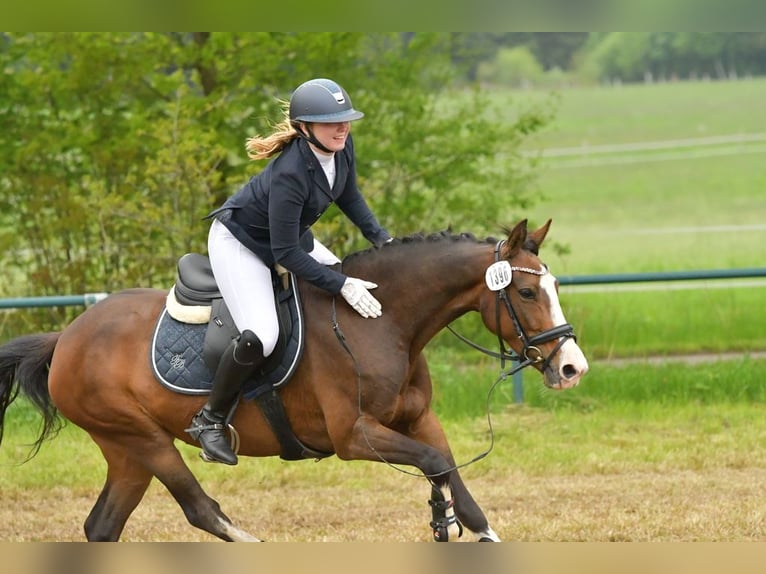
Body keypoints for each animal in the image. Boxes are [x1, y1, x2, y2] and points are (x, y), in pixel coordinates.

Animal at [0, 218, 592, 544]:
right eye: (525, 293)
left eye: (555, 288)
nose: (571, 367)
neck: (383, 321)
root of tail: (68, 335)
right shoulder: (354, 437)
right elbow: (435, 467)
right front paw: (439, 519)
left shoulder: (418, 419)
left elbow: (454, 479)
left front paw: (456, 523)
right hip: (140, 437)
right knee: (201, 509)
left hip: (124, 451)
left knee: (103, 527)